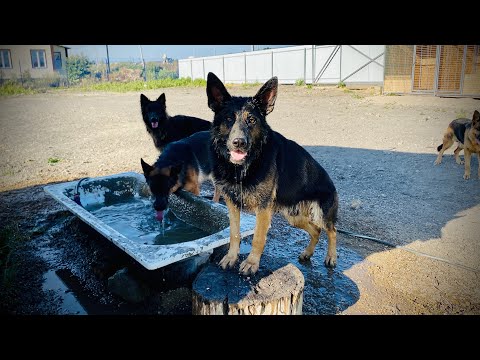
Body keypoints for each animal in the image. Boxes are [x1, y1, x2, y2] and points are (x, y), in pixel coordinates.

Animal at [206, 72, 338, 276]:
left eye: (251, 120)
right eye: (228, 119)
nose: (239, 143)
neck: (244, 166)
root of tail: (331, 183)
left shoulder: (263, 209)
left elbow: (258, 238)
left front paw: (251, 263)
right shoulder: (232, 204)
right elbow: (234, 233)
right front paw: (231, 257)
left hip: (321, 214)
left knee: (331, 231)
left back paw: (331, 257)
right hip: (294, 217)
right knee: (316, 231)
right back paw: (307, 253)